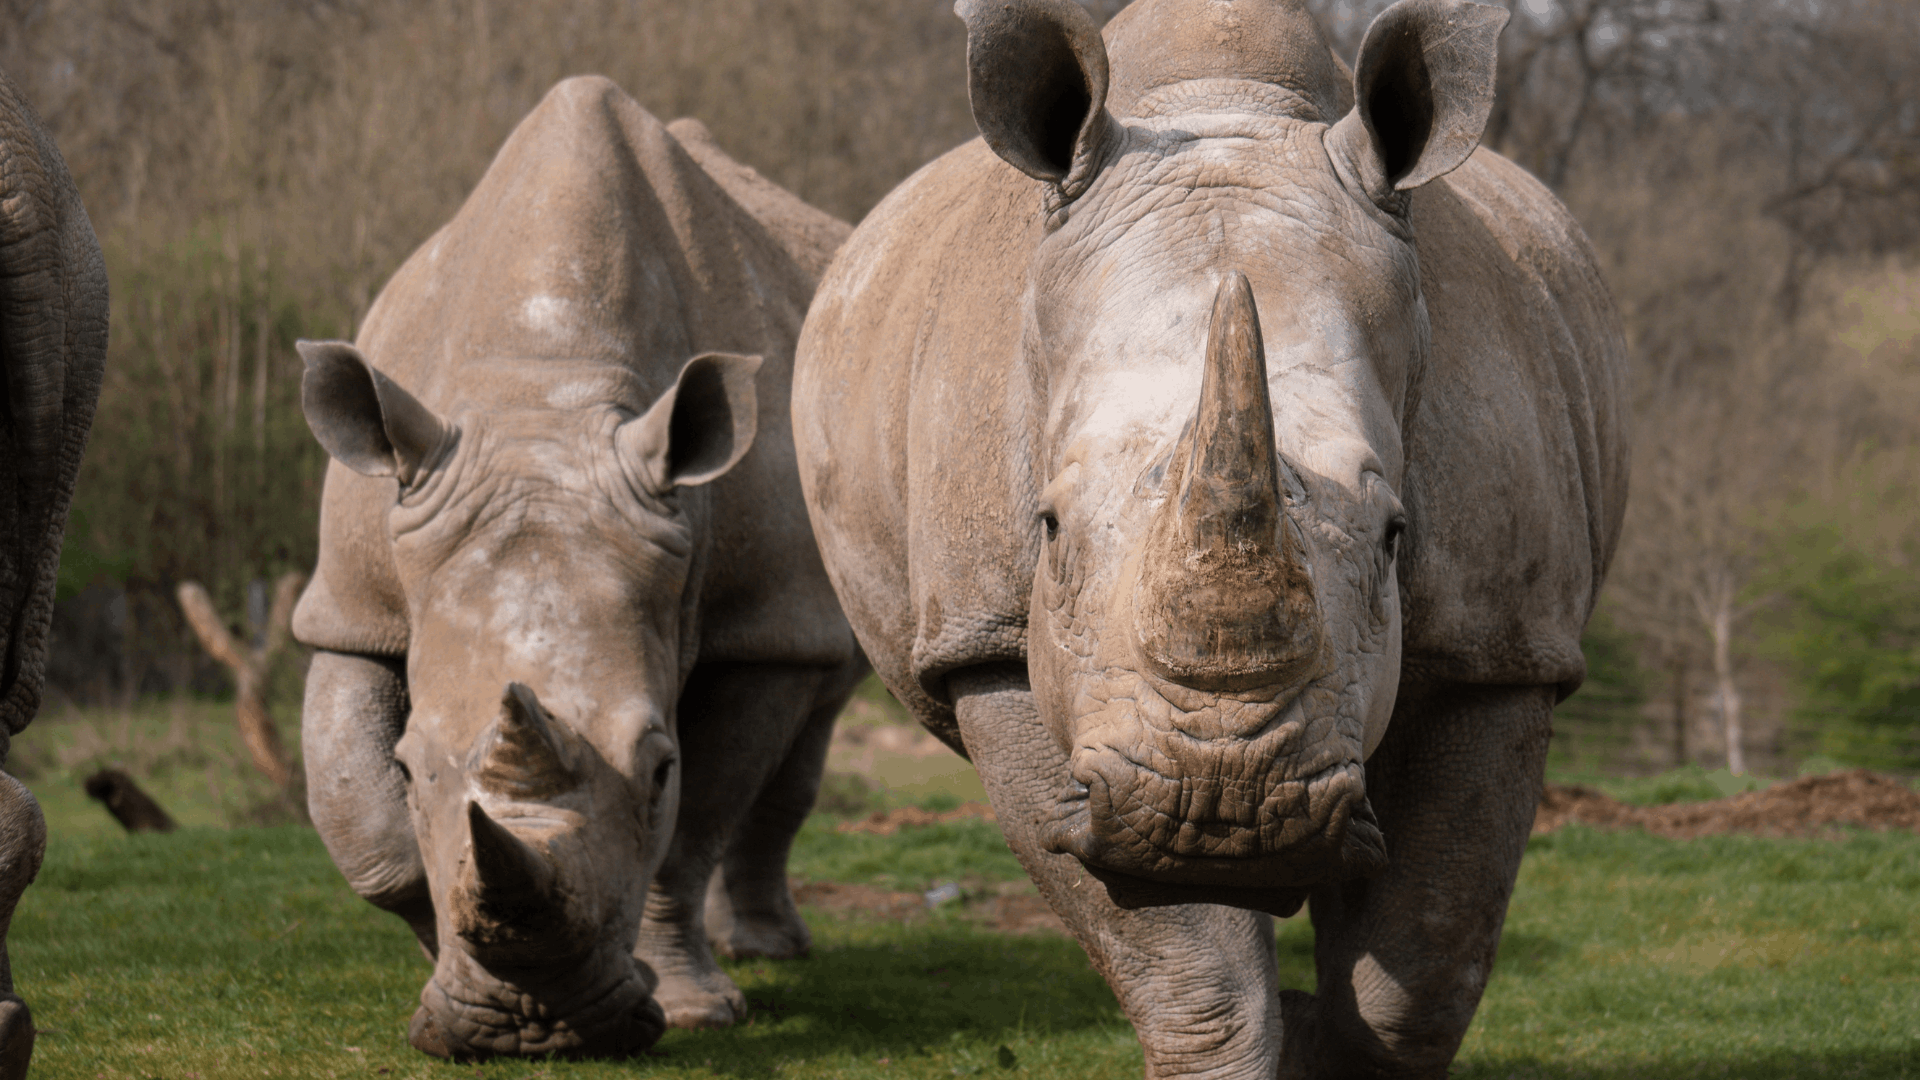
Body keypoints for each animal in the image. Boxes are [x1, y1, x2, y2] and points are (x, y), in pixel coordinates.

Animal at [294, 76, 865, 1059]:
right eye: (409, 767)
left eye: (659, 766)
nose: (535, 1030)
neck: (542, 392)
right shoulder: (352, 603)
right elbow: (366, 831)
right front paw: (441, 959)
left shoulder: (762, 620)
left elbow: (691, 829)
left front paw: (691, 1010)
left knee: (818, 709)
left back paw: (764, 953)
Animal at [794, 0, 1627, 1075]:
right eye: (1047, 530)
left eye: (1396, 537)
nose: (1226, 804)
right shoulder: (990, 643)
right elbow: (1189, 976)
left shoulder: (1504, 644)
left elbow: (1420, 975)